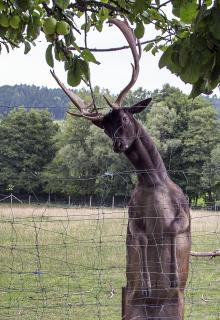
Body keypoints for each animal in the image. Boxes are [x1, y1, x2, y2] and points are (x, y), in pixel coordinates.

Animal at [51, 19, 191, 320]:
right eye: (105, 127)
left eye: (125, 118)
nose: (118, 143)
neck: (153, 184)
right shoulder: (132, 216)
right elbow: (142, 238)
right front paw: (149, 283)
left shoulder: (185, 214)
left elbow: (172, 229)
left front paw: (172, 277)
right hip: (131, 306)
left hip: (177, 307)